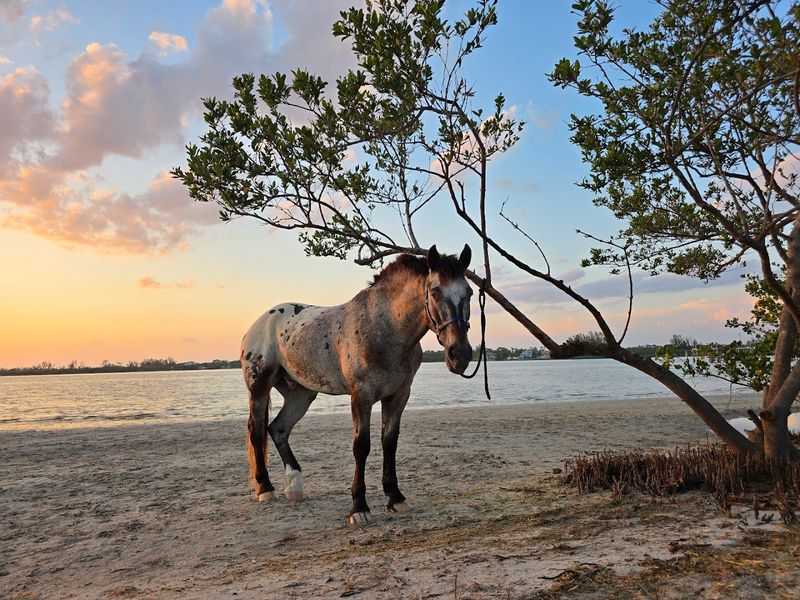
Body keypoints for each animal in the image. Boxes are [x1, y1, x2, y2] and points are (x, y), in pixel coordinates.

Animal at [240, 244, 474, 525]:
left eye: (470, 292)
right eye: (436, 292)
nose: (460, 355)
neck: (384, 328)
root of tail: (259, 323)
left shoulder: (398, 396)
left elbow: (389, 443)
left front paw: (396, 498)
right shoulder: (361, 396)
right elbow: (361, 446)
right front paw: (359, 508)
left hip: (301, 395)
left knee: (278, 429)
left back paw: (295, 487)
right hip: (259, 388)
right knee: (257, 431)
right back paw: (265, 489)